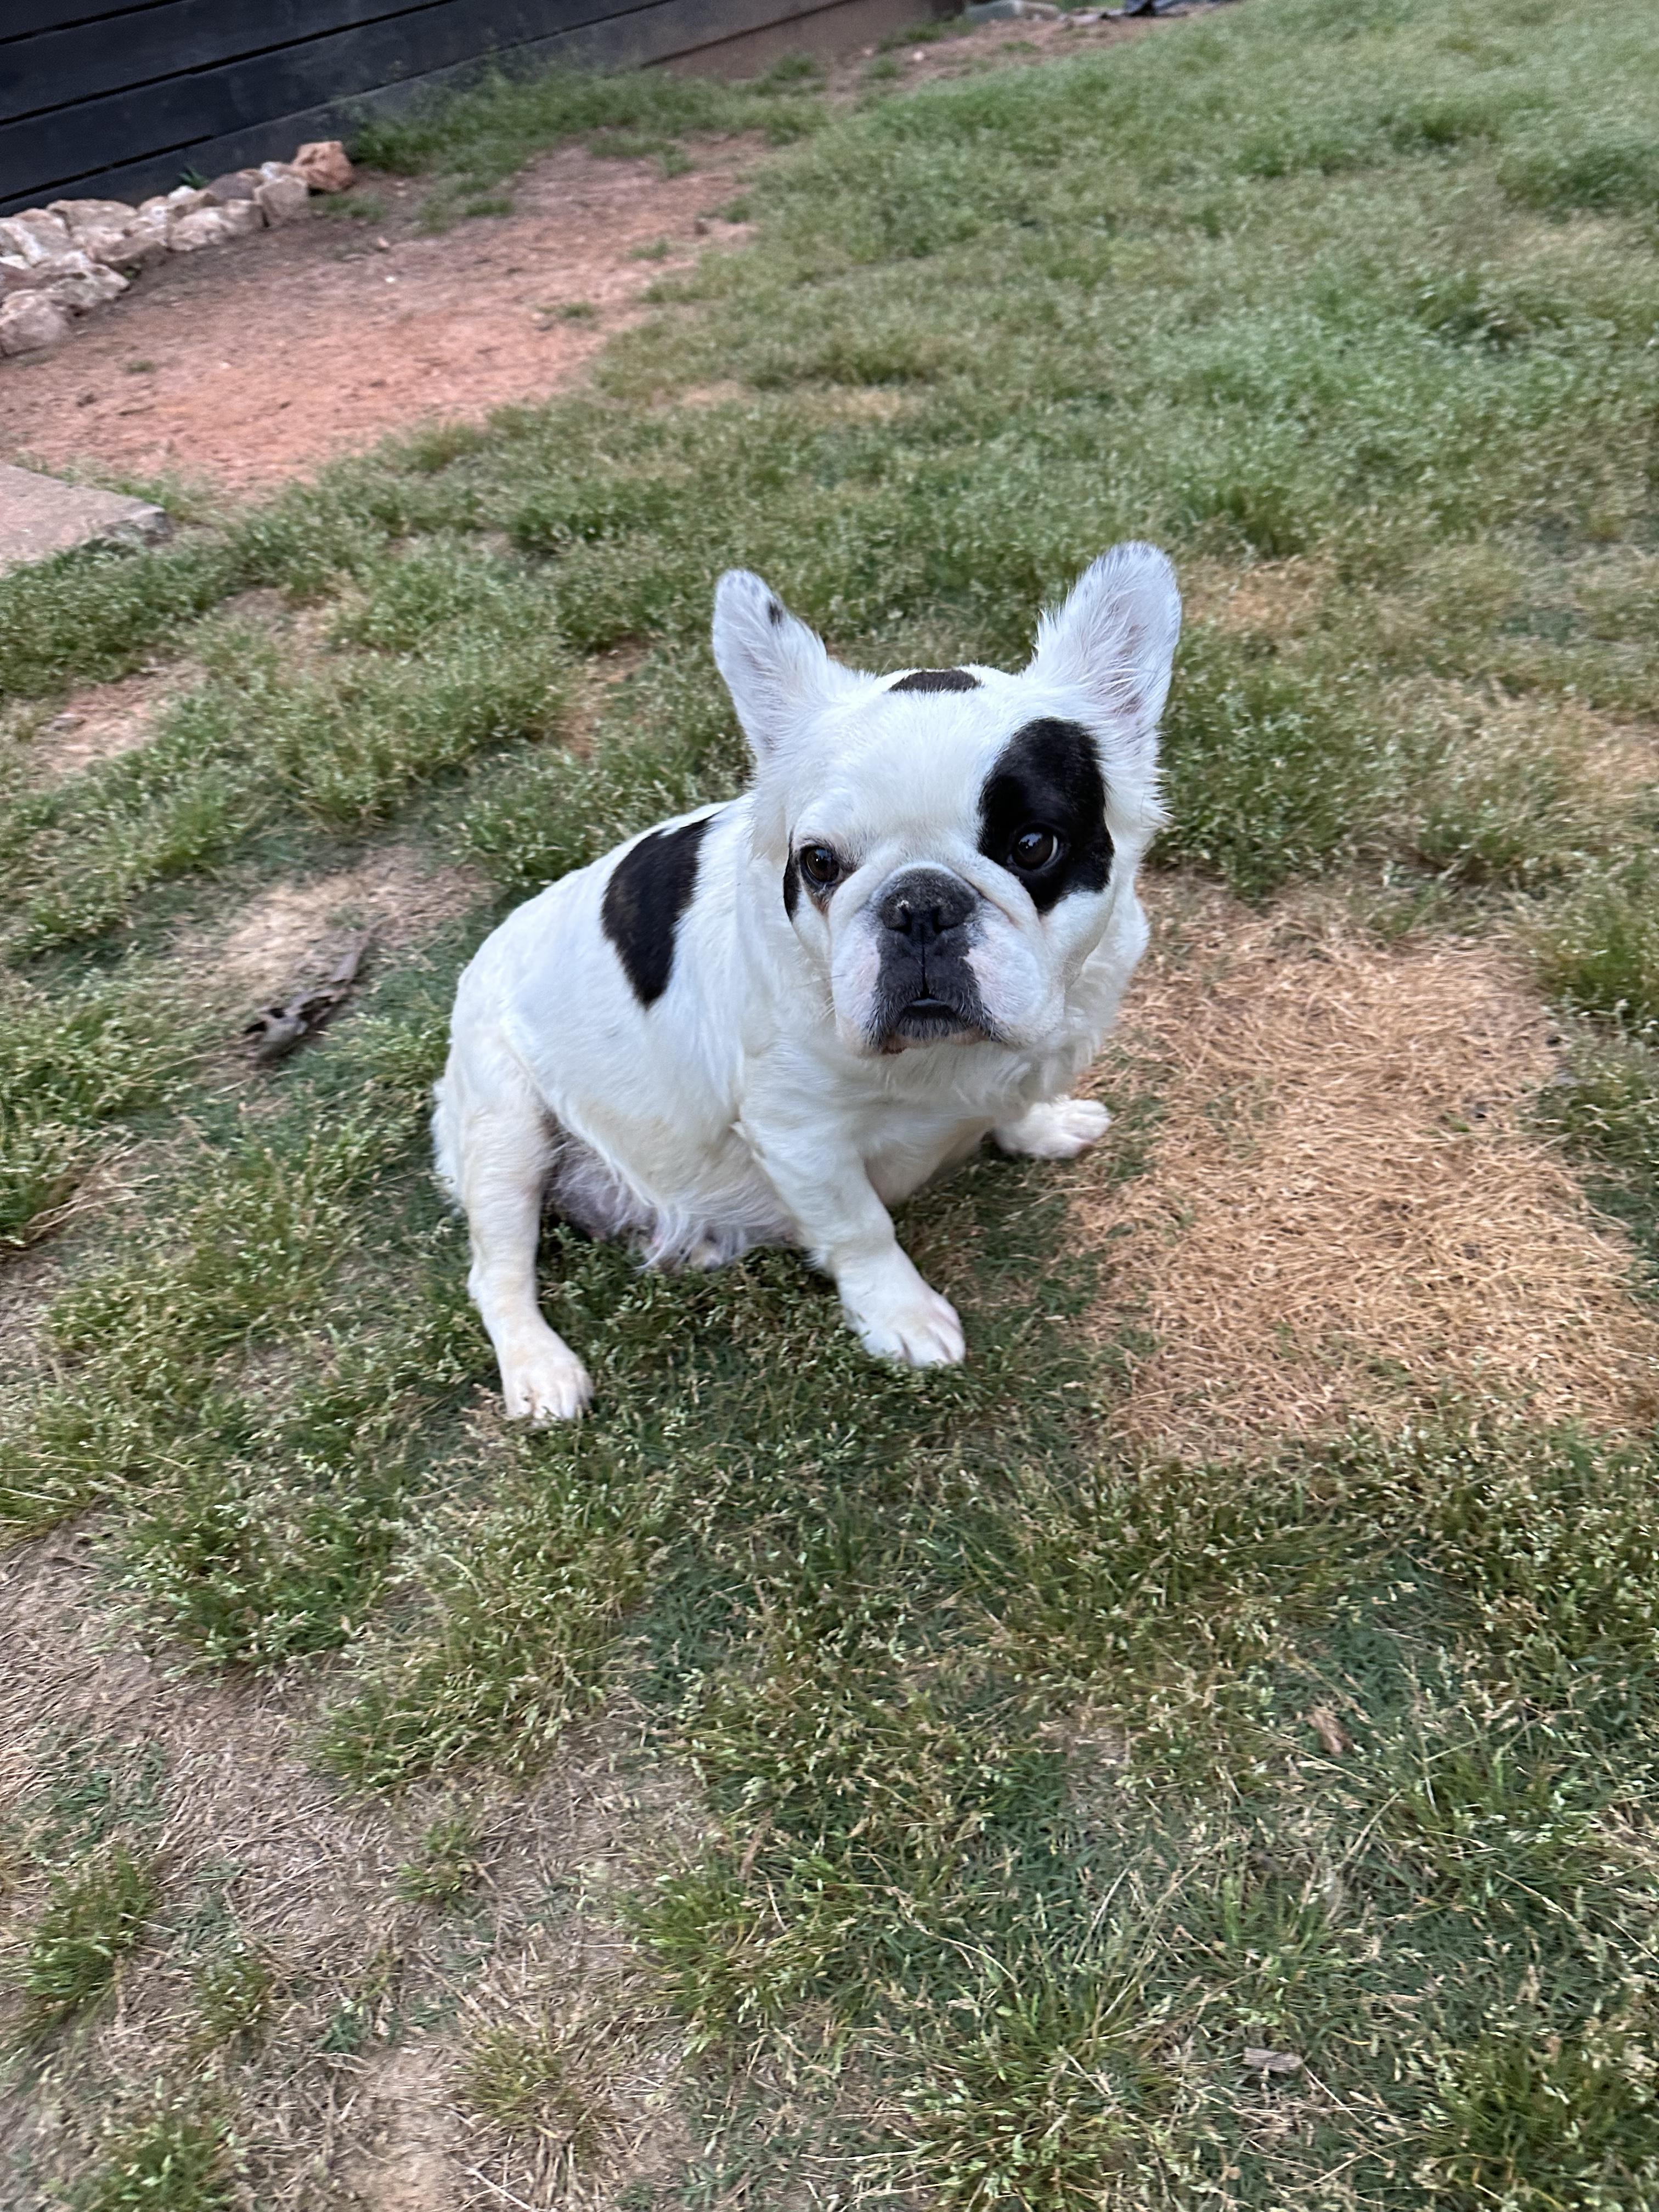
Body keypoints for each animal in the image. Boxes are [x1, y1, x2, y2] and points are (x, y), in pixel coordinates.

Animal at [433, 542, 1181, 1421]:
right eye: (819, 864)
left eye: (1033, 845)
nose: (919, 904)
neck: (947, 1058)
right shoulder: (800, 1138)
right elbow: (861, 1228)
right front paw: (902, 1315)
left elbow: (1019, 1097)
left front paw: (1040, 1125)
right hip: (504, 1123)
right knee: (498, 1269)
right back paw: (538, 1366)